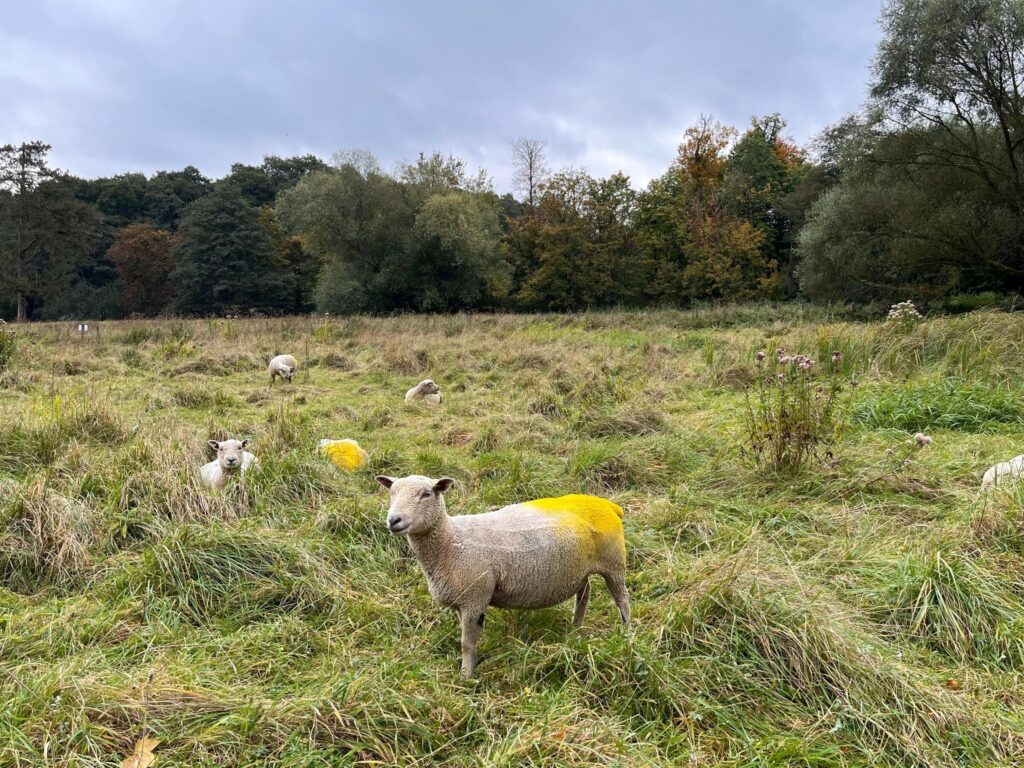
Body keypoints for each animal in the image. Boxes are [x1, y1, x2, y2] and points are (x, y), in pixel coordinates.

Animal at [376, 475, 630, 679]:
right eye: (392, 492)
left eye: (426, 494)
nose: (393, 520)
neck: (450, 541)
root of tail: (607, 504)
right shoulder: (462, 600)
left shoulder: (475, 597)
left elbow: (466, 643)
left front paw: (466, 677)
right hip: (579, 569)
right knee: (583, 595)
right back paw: (575, 631)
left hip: (614, 564)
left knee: (622, 600)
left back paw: (626, 634)